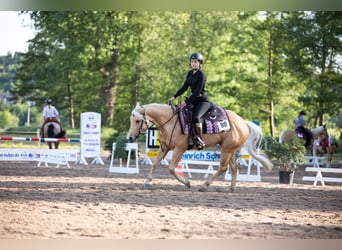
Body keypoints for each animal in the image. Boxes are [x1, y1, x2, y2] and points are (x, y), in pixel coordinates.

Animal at [125, 103, 272, 191]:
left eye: (137, 121)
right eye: (131, 120)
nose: (130, 138)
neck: (170, 122)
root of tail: (243, 122)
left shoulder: (179, 149)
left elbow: (171, 168)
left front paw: (187, 182)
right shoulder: (164, 148)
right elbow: (155, 164)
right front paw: (147, 182)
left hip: (226, 150)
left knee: (223, 168)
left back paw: (204, 185)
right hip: (229, 150)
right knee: (234, 168)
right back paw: (231, 188)